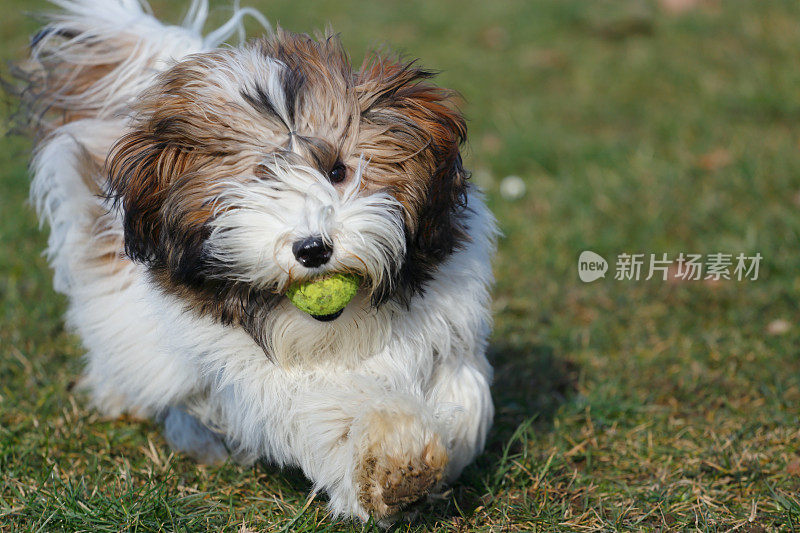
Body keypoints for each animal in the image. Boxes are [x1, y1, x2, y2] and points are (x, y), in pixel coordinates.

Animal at [15, 0, 496, 520]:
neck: (339, 331)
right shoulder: (262, 376)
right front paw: (393, 460)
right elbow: (333, 408)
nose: (313, 248)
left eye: (338, 171)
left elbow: (462, 392)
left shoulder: (447, 322)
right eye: (258, 181)